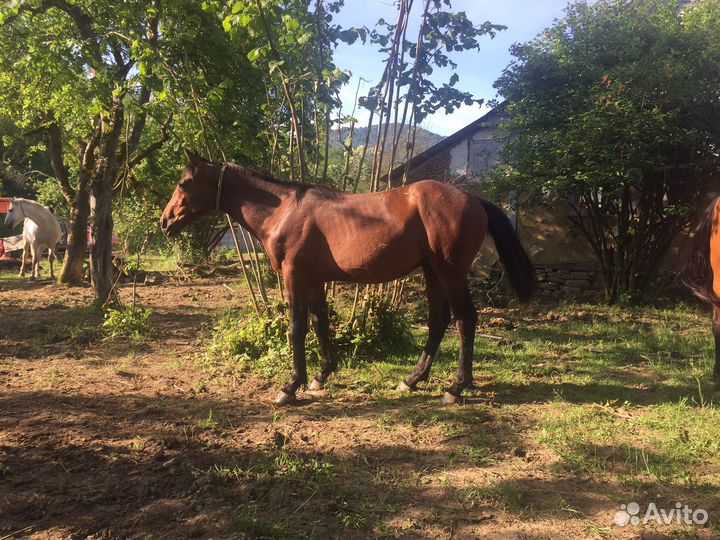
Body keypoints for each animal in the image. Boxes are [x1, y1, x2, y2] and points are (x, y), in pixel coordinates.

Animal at [161, 150, 537, 405]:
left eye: (185, 182)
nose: (165, 221)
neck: (284, 211)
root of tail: (473, 198)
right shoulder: (313, 280)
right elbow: (319, 323)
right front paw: (321, 376)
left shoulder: (295, 278)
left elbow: (297, 328)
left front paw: (291, 387)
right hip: (433, 272)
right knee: (438, 320)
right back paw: (412, 380)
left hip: (450, 272)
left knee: (465, 319)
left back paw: (456, 387)